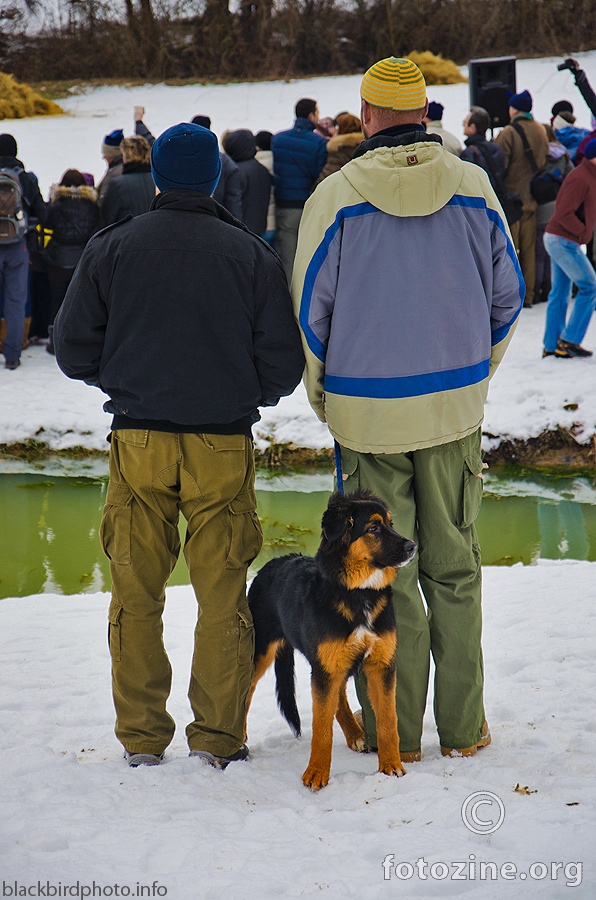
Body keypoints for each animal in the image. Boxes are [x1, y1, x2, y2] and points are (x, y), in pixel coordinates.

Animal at [244, 488, 416, 792]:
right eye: (373, 528)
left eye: (391, 523)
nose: (412, 547)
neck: (358, 592)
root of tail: (272, 563)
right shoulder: (326, 669)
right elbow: (321, 729)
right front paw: (316, 774)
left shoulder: (380, 664)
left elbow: (388, 721)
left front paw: (391, 766)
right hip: (262, 651)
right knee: (245, 693)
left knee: (341, 697)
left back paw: (355, 733)